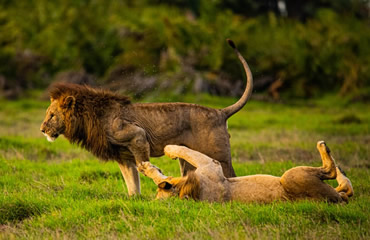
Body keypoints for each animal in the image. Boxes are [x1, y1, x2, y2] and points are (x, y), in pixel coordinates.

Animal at [41, 39, 254, 195]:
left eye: (51, 115)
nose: (42, 130)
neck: (91, 117)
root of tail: (220, 112)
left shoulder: (137, 136)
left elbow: (145, 166)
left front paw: (160, 179)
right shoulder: (123, 158)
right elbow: (132, 183)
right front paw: (134, 199)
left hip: (220, 155)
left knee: (230, 175)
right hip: (188, 160)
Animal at [139, 142, 352, 203]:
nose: (144, 165)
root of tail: (337, 201)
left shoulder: (210, 165)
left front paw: (147, 167)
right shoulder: (212, 165)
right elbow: (185, 150)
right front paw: (165, 152)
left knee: (344, 186)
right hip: (290, 176)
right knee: (331, 172)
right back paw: (325, 149)